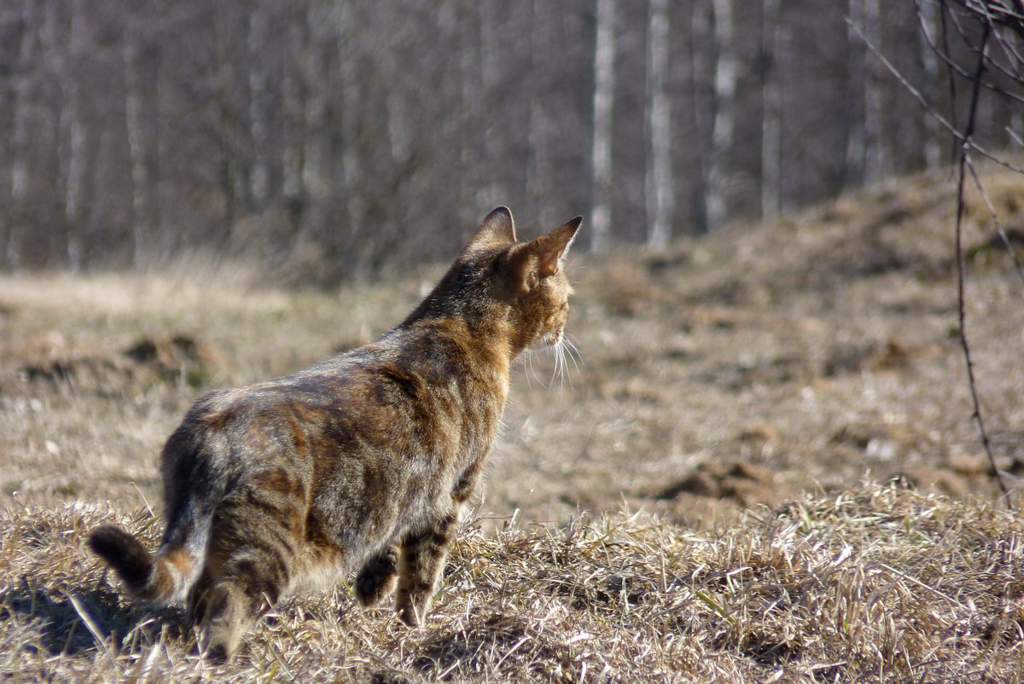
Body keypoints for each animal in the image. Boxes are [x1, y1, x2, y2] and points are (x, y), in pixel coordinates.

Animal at [89, 205, 581, 659]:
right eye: (567, 299)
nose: (566, 329)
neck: (458, 326)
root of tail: (213, 431)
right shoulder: (450, 497)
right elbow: (421, 579)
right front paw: (413, 629)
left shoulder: (402, 497)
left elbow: (386, 546)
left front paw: (373, 586)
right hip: (266, 551)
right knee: (226, 603)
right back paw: (222, 655)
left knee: (196, 593)